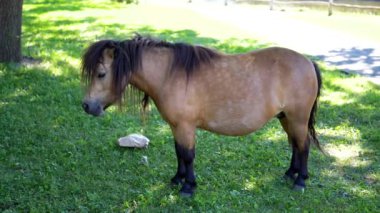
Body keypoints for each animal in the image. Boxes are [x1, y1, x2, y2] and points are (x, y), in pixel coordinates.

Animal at [81, 35, 322, 196]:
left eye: (101, 74)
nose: (86, 106)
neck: (170, 74)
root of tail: (308, 62)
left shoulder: (186, 126)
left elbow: (188, 155)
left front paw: (188, 187)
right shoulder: (176, 126)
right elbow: (179, 152)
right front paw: (177, 179)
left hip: (297, 118)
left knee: (303, 146)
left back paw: (300, 181)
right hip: (286, 118)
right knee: (295, 145)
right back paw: (290, 174)